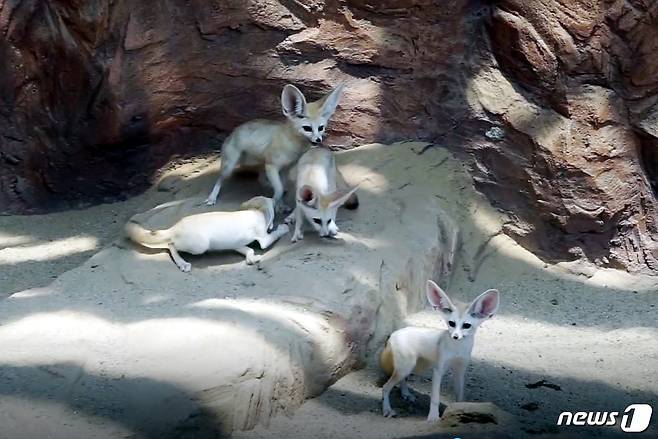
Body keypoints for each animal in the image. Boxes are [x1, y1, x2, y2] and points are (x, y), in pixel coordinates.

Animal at [123, 196, 288, 272]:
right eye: (276, 203)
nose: (283, 206)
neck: (257, 211)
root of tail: (175, 227)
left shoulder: (237, 244)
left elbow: (249, 250)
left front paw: (251, 258)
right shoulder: (264, 239)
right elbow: (273, 235)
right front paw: (284, 227)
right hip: (199, 246)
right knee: (171, 244)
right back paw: (183, 263)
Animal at [204, 83, 344, 210]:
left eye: (321, 128)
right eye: (307, 128)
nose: (318, 140)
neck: (293, 145)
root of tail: (233, 132)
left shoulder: (284, 169)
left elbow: (280, 187)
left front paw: (281, 204)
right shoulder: (272, 166)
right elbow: (279, 189)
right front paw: (276, 202)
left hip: (261, 165)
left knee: (260, 179)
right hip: (230, 166)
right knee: (220, 179)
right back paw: (212, 197)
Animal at [380, 282, 498, 422]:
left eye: (466, 326)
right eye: (451, 323)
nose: (455, 336)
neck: (457, 349)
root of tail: (394, 333)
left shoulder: (460, 371)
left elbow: (460, 395)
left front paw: (460, 410)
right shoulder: (438, 370)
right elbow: (435, 398)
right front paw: (433, 417)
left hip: (412, 366)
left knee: (402, 380)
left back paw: (406, 393)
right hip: (407, 367)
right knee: (386, 387)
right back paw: (387, 409)